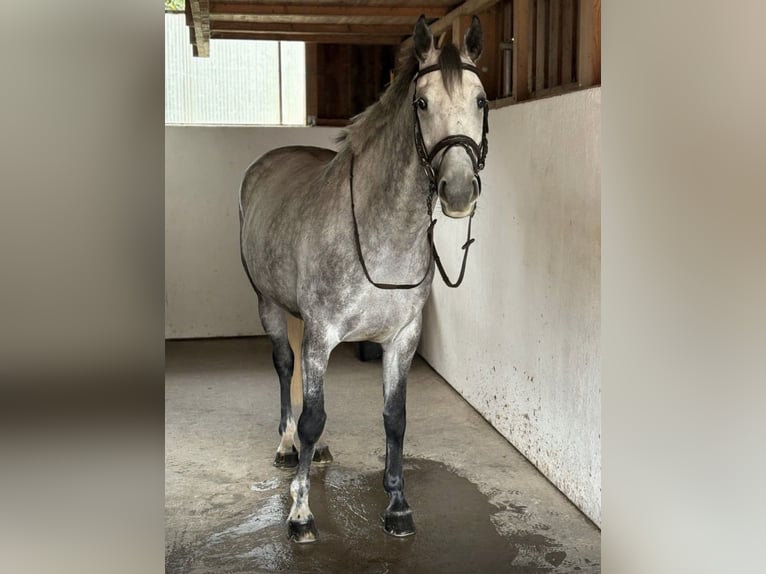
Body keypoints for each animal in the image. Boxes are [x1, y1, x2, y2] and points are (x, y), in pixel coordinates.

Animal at [239, 15, 489, 543]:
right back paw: (287, 448)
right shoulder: (322, 335)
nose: (458, 191)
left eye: (480, 100)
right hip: (268, 304)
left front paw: (397, 506)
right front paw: (300, 513)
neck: (383, 233)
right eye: (421, 102)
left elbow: (395, 419)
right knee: (285, 368)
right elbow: (312, 416)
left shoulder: (402, 338)